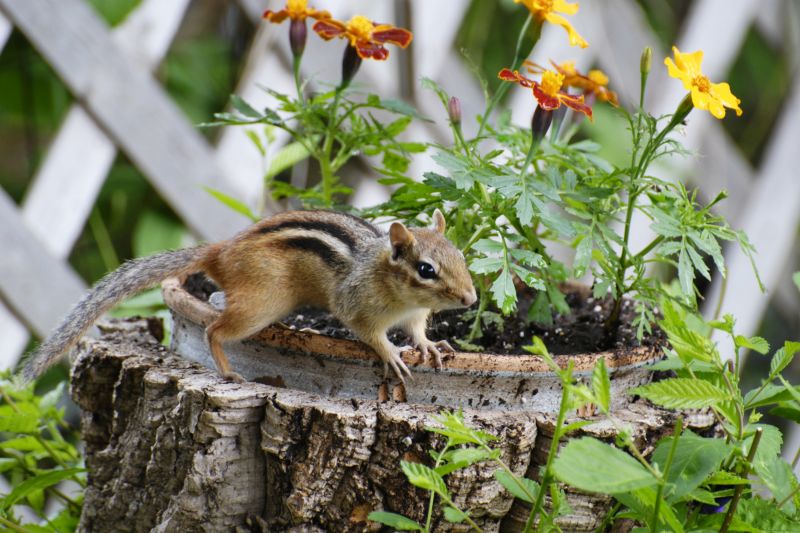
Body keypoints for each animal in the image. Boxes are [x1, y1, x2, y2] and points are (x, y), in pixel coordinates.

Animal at [22, 209, 477, 384]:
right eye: (426, 270)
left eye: (460, 257)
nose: (471, 300)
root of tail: (219, 251)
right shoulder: (357, 306)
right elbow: (370, 334)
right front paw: (392, 354)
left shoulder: (414, 315)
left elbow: (417, 332)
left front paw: (430, 345)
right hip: (261, 303)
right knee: (215, 329)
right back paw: (227, 371)